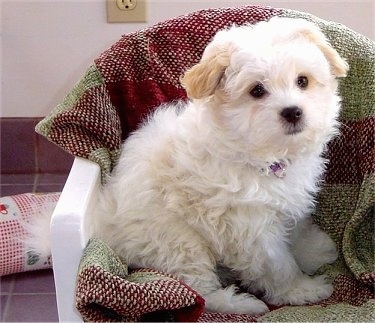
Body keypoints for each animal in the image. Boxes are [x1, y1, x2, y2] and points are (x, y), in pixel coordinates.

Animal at [93, 17, 350, 316]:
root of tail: (106, 225)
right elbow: (277, 265)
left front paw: (314, 250)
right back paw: (242, 303)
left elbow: (296, 230)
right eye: (257, 90)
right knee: (199, 293)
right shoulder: (250, 227)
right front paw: (301, 289)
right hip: (179, 243)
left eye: (303, 81)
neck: (263, 157)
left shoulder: (287, 202)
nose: (292, 111)